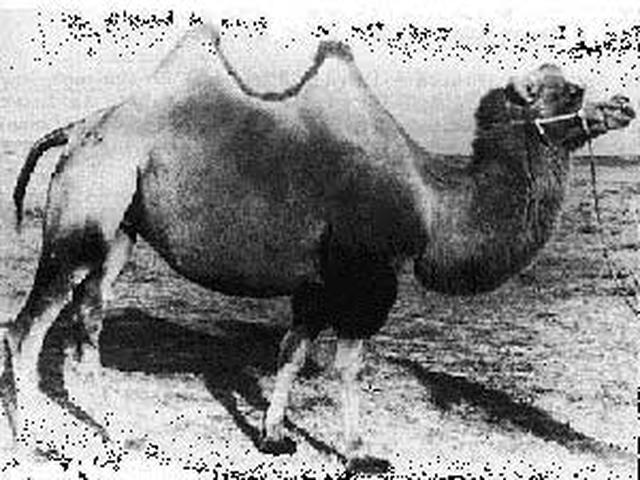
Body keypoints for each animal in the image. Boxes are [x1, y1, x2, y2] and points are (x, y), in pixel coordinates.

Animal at [1, 24, 635, 473]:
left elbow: (292, 352)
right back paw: (34, 443)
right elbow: (348, 364)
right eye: (572, 90)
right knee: (26, 327)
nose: (624, 104)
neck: (433, 200)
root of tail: (77, 129)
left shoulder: (319, 281)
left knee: (88, 318)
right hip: (82, 216)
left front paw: (273, 437)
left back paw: (116, 431)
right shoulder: (368, 275)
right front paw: (359, 453)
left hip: (119, 230)